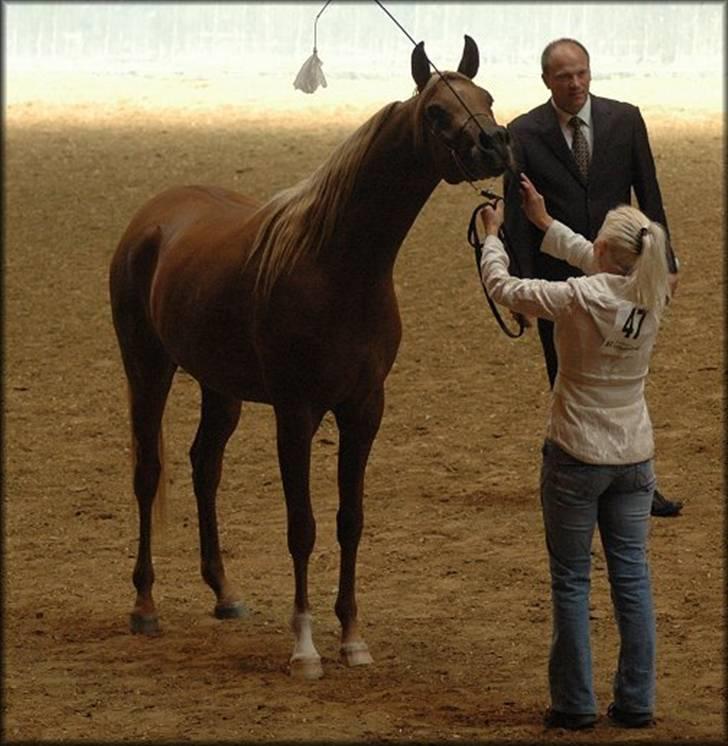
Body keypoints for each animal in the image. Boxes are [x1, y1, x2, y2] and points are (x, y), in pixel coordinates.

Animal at [109, 35, 512, 676]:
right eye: (435, 111)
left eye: (487, 97)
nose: (494, 143)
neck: (337, 265)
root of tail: (152, 216)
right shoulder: (296, 413)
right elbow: (302, 526)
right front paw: (304, 646)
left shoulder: (363, 409)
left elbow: (351, 522)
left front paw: (351, 636)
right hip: (148, 369)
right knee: (149, 472)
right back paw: (144, 605)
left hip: (219, 387)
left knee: (204, 466)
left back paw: (225, 593)